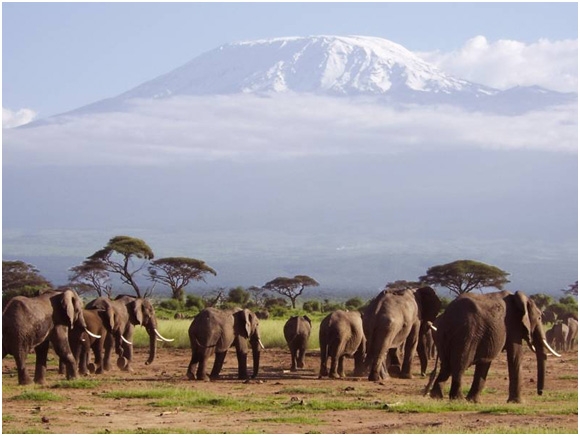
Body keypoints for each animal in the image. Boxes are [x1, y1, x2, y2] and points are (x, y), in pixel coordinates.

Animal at [428, 292, 560, 404]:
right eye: (539, 318)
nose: (540, 392)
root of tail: (448, 316)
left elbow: (485, 361)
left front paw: (474, 401)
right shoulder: (513, 325)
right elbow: (515, 356)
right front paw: (517, 402)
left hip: (443, 335)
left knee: (446, 366)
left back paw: (436, 397)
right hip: (466, 334)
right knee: (460, 364)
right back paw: (458, 400)